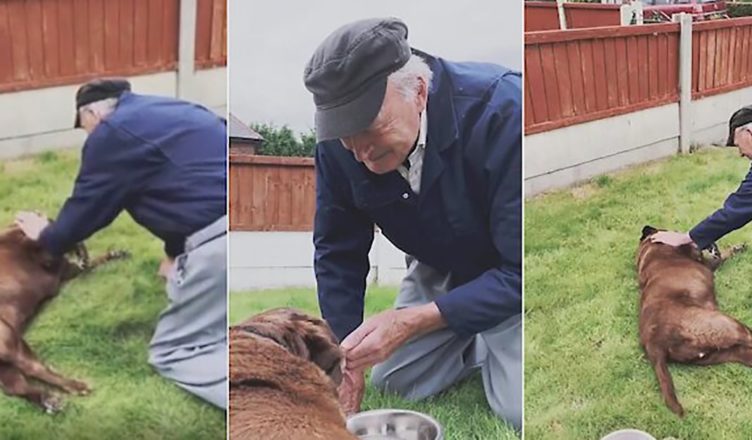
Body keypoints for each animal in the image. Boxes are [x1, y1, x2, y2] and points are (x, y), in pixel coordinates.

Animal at [0, 223, 128, 412]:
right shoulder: (51, 258)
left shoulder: (66, 267)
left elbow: (91, 261)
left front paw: (115, 253)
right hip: (10, 338)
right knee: (35, 369)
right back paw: (76, 387)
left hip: (5, 361)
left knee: (16, 385)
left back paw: (49, 400)